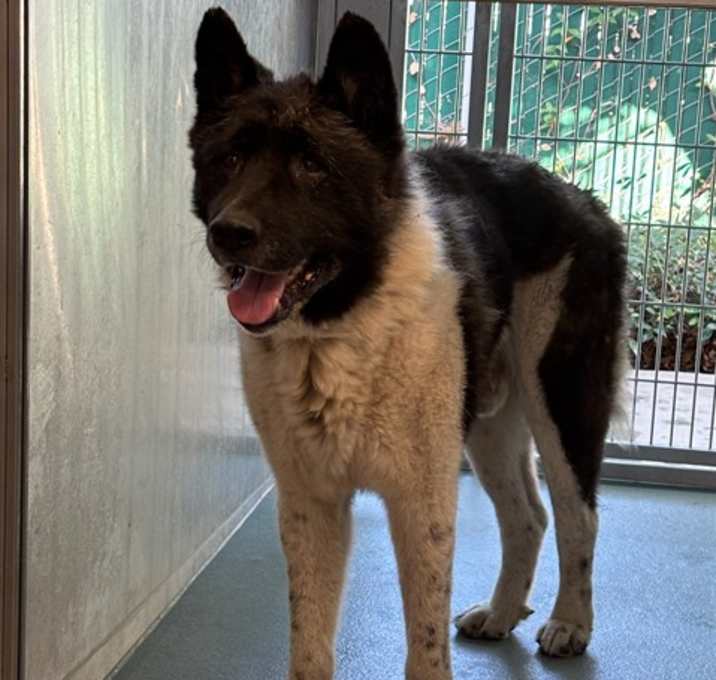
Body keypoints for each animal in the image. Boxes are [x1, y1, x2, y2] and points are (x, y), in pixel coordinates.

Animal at [189, 8, 627, 679]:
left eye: (313, 167)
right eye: (232, 158)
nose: (228, 233)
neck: (340, 326)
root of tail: (583, 200)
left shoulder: (421, 505)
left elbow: (424, 643)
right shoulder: (311, 504)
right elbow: (309, 642)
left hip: (559, 403)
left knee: (579, 516)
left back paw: (570, 622)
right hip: (485, 427)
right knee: (528, 517)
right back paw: (503, 614)